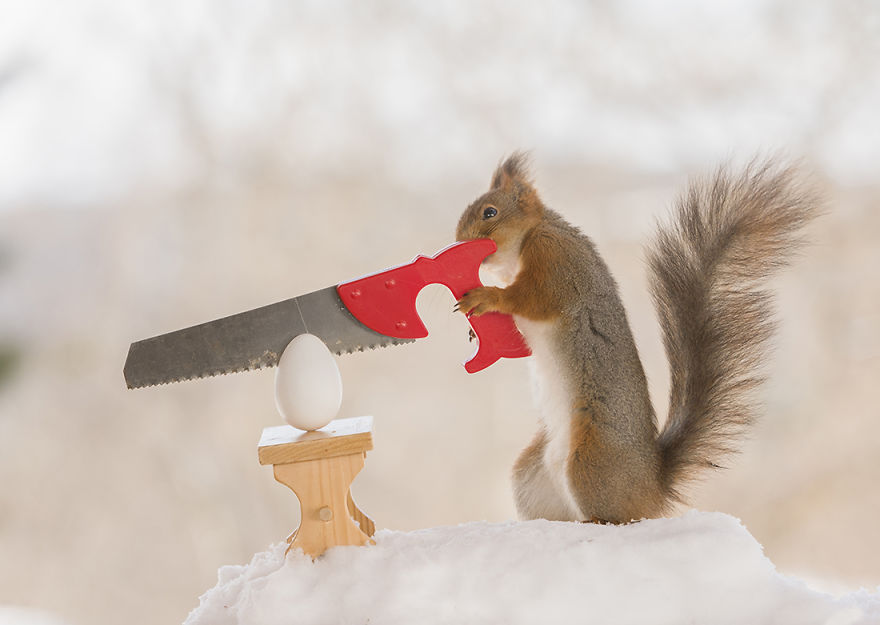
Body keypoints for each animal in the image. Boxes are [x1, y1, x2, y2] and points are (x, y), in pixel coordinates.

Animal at [454, 153, 819, 524]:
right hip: (531, 473)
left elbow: (533, 298)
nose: (458, 240)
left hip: (592, 457)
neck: (526, 241)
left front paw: (485, 297)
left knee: (616, 516)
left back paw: (596, 520)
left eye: (489, 212)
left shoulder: (556, 262)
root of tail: (653, 487)